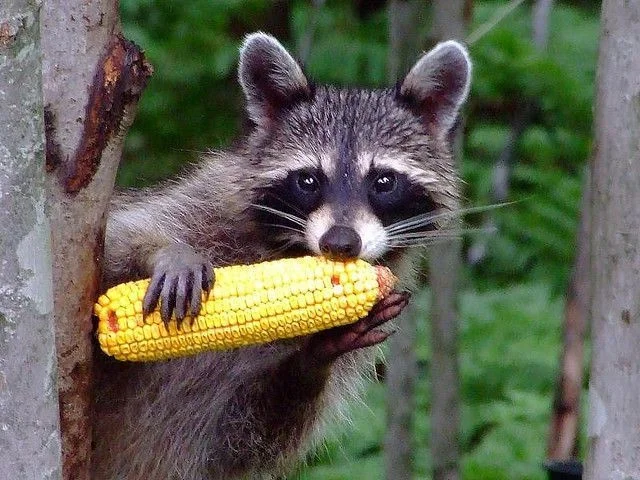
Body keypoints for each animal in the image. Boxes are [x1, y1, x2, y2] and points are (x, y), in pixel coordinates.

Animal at [92, 32, 471, 480]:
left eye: (383, 181)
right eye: (308, 180)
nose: (340, 243)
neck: (289, 253)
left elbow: (247, 437)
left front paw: (317, 355)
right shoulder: (203, 207)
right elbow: (118, 240)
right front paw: (169, 254)